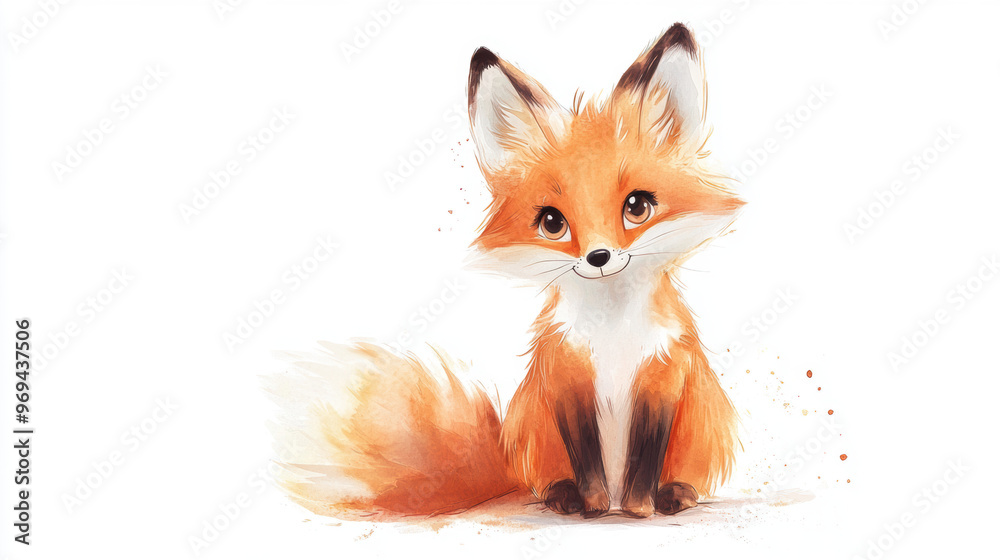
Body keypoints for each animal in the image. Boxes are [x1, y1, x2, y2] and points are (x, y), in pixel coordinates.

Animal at [268, 23, 742, 519]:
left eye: (637, 207)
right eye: (552, 222)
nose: (599, 257)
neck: (613, 333)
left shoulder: (663, 378)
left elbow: (644, 461)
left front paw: (637, 508)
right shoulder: (564, 378)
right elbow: (587, 460)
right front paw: (594, 506)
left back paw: (673, 494)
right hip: (535, 428)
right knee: (549, 478)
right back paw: (564, 496)